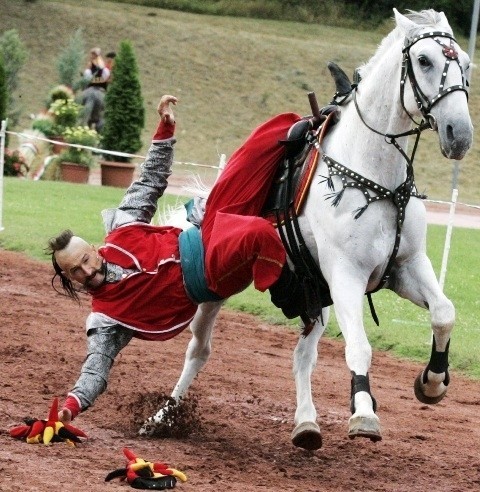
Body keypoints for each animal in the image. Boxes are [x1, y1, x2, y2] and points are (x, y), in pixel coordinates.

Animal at [139, 8, 472, 450]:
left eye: (465, 63)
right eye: (424, 60)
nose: (460, 134)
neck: (377, 178)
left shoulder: (406, 267)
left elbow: (444, 313)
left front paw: (432, 381)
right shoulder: (346, 275)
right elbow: (359, 348)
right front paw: (364, 413)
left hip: (315, 294)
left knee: (302, 357)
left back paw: (306, 423)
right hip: (221, 281)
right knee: (199, 351)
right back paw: (164, 416)